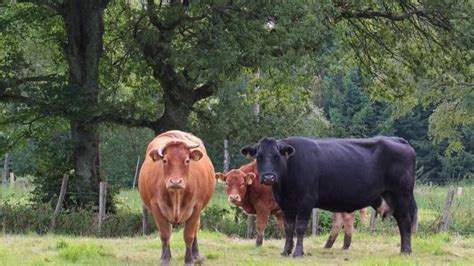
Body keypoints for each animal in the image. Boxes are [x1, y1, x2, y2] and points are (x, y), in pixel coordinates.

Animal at [139, 130, 215, 264]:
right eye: (165, 160)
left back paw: (196, 255)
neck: (176, 195)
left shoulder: (196, 207)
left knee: (195, 230)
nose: (175, 181)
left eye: (187, 160)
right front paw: (165, 259)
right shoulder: (156, 207)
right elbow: (165, 234)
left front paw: (189, 260)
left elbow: (189, 235)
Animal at [243, 136, 416, 256]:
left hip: (402, 195)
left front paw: (298, 252)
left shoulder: (306, 201)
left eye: (277, 156)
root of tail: (396, 139)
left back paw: (406, 250)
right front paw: (286, 251)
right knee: (401, 221)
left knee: (405, 221)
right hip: (390, 197)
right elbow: (289, 228)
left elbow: (300, 228)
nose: (269, 177)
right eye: (259, 156)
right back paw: (403, 249)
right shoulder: (286, 205)